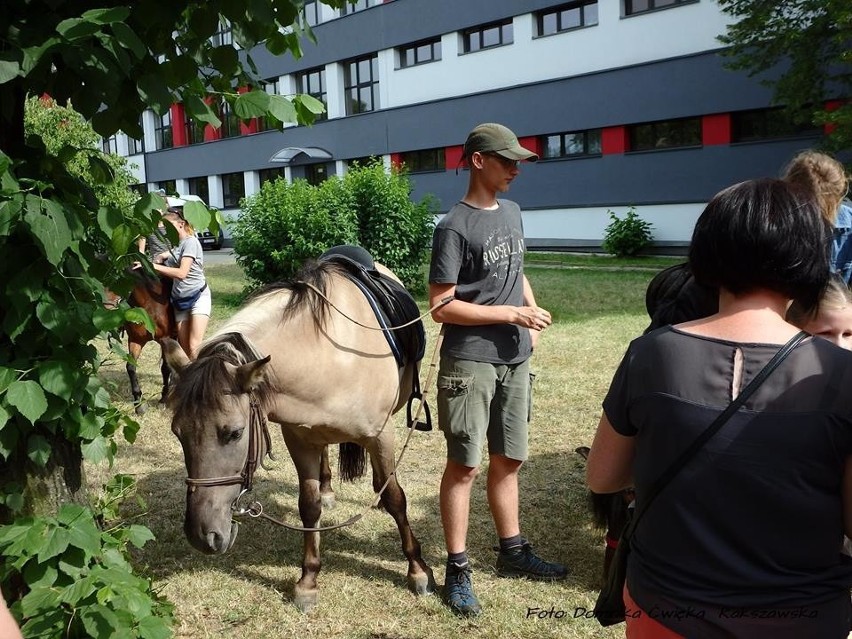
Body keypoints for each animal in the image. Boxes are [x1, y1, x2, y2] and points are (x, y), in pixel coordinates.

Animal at [164, 258, 436, 612]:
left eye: (235, 434)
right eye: (178, 433)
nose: (202, 536)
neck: (329, 360)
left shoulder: (380, 435)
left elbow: (395, 498)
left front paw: (417, 570)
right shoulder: (300, 440)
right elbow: (309, 506)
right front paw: (308, 580)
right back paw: (328, 488)